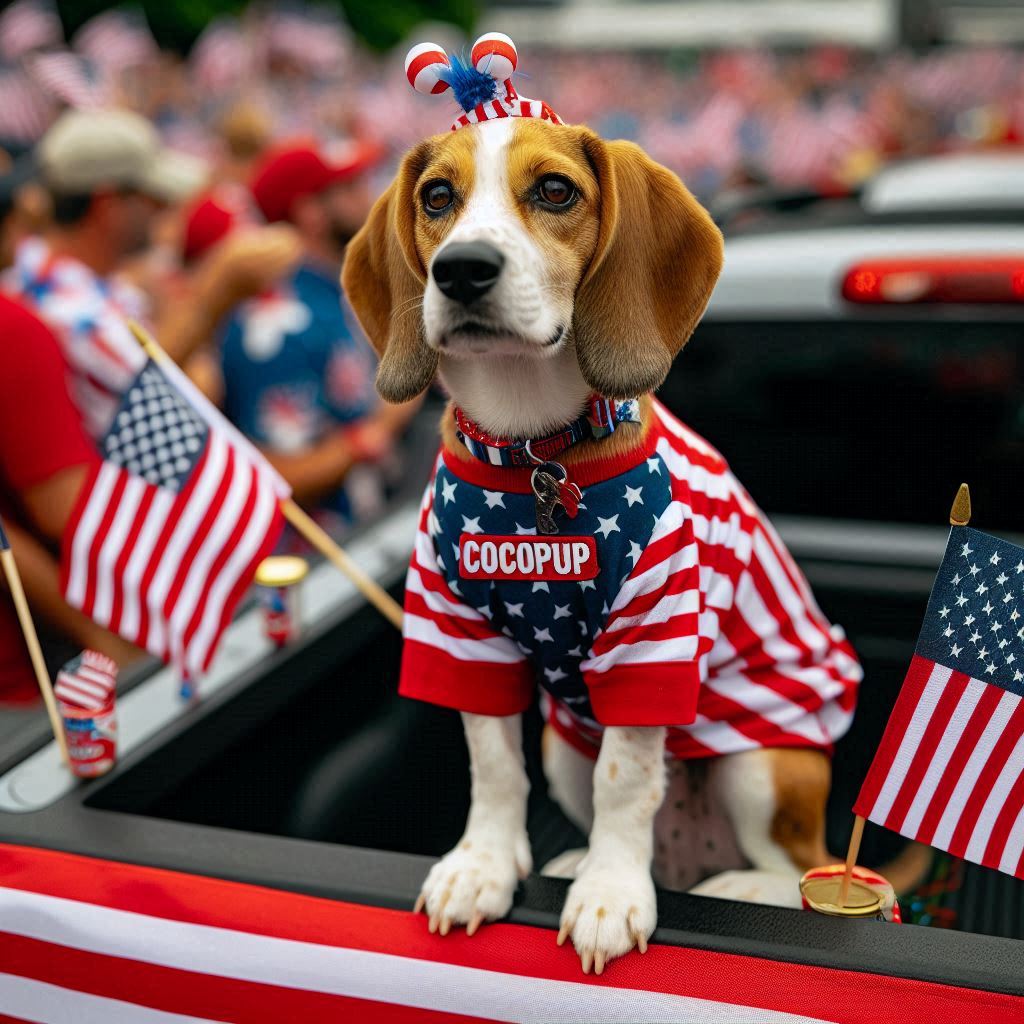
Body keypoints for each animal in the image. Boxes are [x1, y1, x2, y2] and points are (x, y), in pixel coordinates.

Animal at [339, 116, 925, 970]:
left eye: (556, 190)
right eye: (438, 197)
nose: (461, 271)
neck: (533, 450)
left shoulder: (652, 634)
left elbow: (625, 778)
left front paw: (611, 893)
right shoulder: (459, 630)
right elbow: (494, 765)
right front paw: (483, 865)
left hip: (766, 765)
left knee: (801, 873)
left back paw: (733, 886)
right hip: (564, 747)